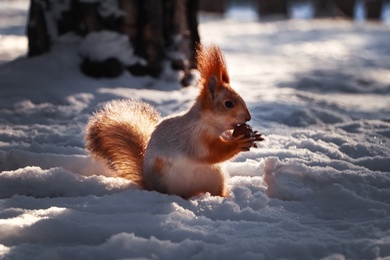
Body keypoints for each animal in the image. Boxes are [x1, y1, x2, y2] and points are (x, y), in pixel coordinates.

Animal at [85, 44, 262, 199]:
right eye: (228, 104)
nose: (248, 118)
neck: (210, 124)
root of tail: (149, 184)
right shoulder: (194, 139)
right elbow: (212, 153)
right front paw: (238, 143)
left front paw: (253, 135)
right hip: (170, 180)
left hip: (215, 177)